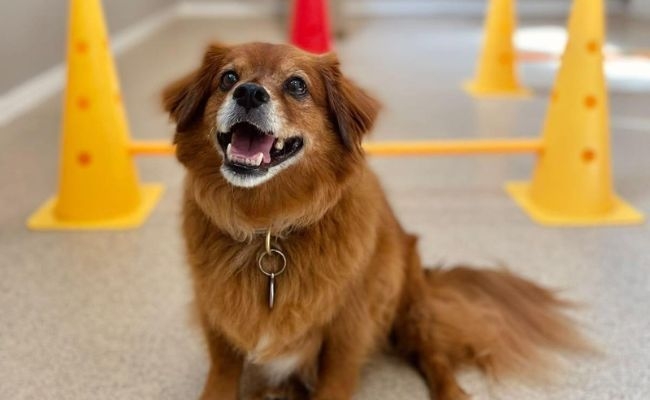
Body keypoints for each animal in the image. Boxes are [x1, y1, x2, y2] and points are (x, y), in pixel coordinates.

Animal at [163, 42, 588, 398]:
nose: (249, 92)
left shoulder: (347, 331)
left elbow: (334, 384)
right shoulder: (217, 311)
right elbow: (222, 373)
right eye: (228, 78)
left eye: (296, 85)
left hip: (411, 308)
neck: (268, 227)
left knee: (433, 356)